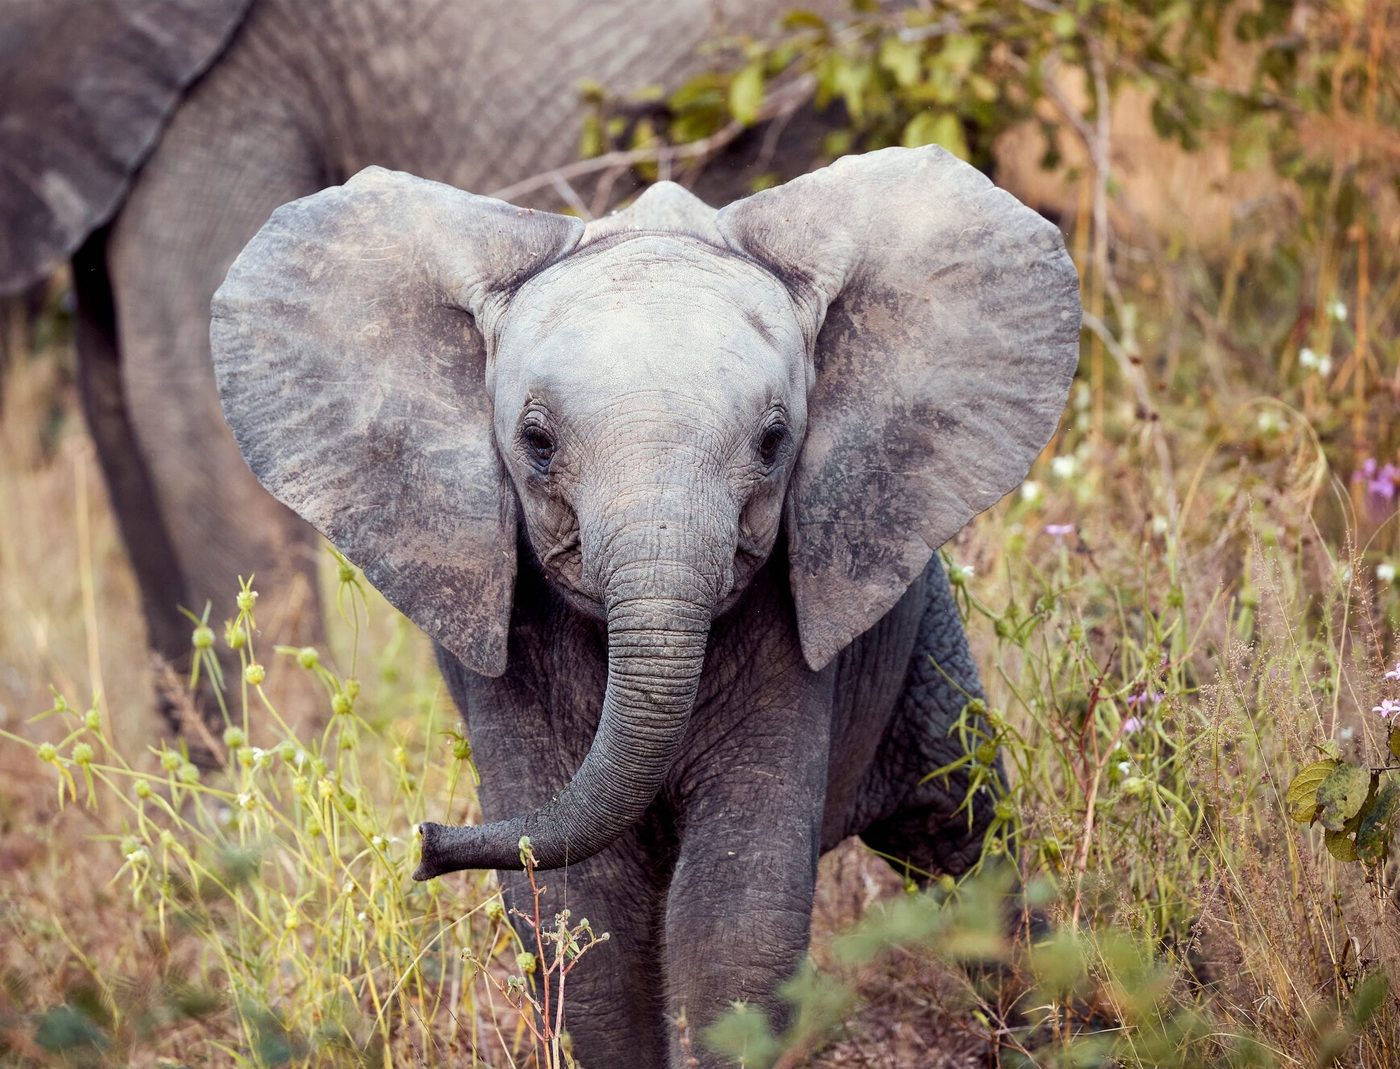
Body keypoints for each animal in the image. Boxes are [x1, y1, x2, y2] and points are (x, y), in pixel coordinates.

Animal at [210, 145, 1082, 1067]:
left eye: (774, 442)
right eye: (537, 443)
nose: (423, 843)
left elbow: (737, 913)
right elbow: (577, 909)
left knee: (970, 836)